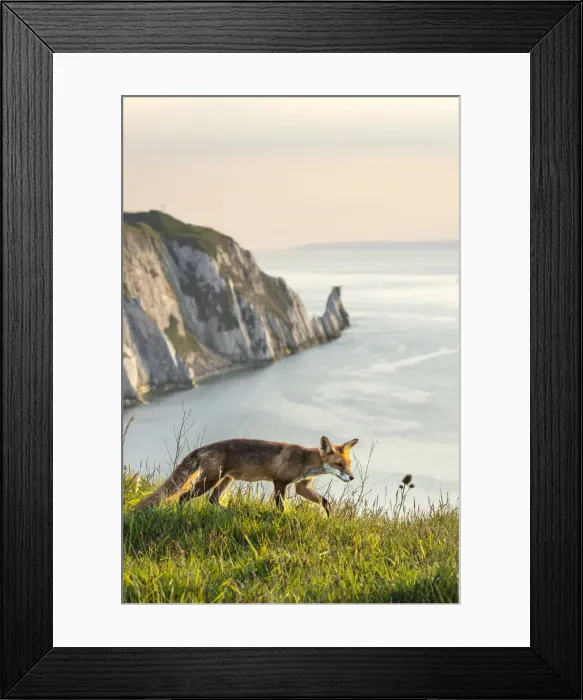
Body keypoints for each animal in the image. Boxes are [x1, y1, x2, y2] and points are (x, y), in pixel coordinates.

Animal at [132, 435, 359, 517]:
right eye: (339, 465)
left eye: (349, 465)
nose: (352, 478)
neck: (305, 461)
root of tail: (202, 448)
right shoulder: (280, 482)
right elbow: (281, 507)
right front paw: (284, 519)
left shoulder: (301, 487)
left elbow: (325, 501)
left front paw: (329, 516)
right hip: (209, 482)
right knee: (182, 497)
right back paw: (182, 515)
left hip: (226, 480)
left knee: (213, 501)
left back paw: (229, 511)